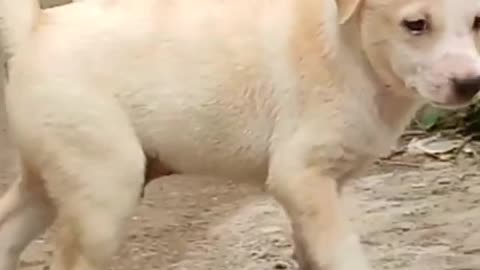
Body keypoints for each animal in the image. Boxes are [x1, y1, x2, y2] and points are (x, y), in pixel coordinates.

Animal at [0, 0, 480, 270]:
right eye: (415, 24)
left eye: (477, 21)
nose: (470, 84)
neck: (351, 49)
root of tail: (38, 27)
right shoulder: (300, 177)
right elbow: (344, 253)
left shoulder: (321, 191)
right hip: (106, 189)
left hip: (51, 178)